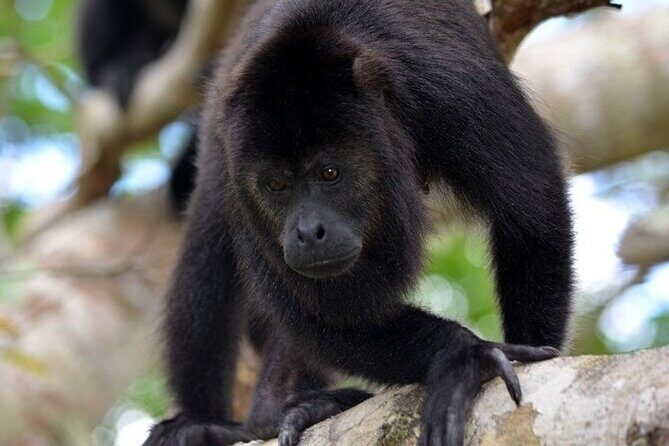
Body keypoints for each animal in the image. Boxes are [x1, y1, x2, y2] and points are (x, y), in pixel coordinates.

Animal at [135, 0, 575, 445]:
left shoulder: (455, 94)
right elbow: (323, 314)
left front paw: (520, 355)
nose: (308, 232)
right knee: (204, 257)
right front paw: (464, 354)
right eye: (276, 184)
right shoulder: (230, 157)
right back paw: (238, 421)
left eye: (330, 173)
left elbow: (532, 210)